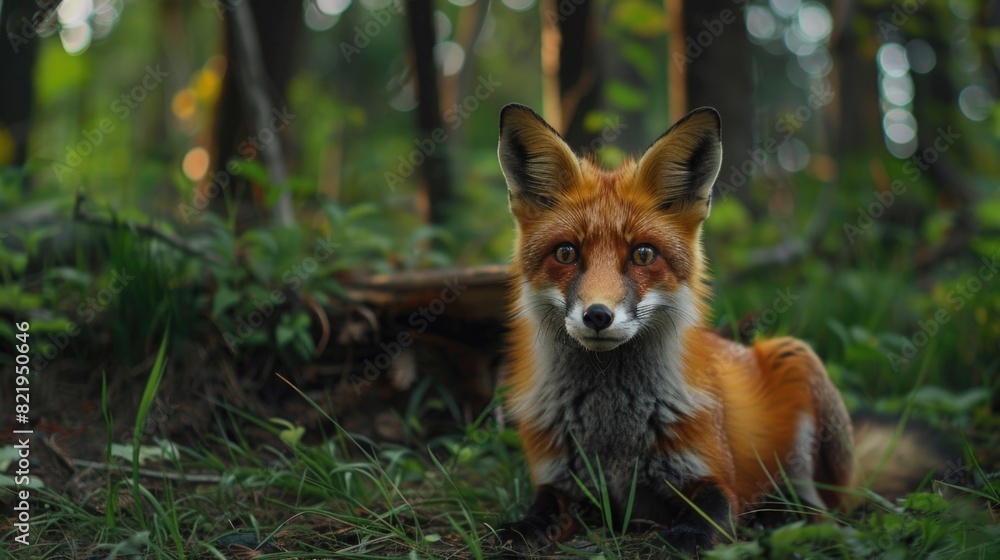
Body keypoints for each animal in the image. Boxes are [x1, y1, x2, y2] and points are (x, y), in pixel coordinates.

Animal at [496, 105, 856, 556]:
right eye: (565, 253)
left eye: (642, 254)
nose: (598, 316)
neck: (613, 434)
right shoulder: (560, 480)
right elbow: (540, 507)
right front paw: (524, 526)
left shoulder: (713, 475)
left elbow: (711, 513)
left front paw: (688, 537)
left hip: (796, 359)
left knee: (824, 509)